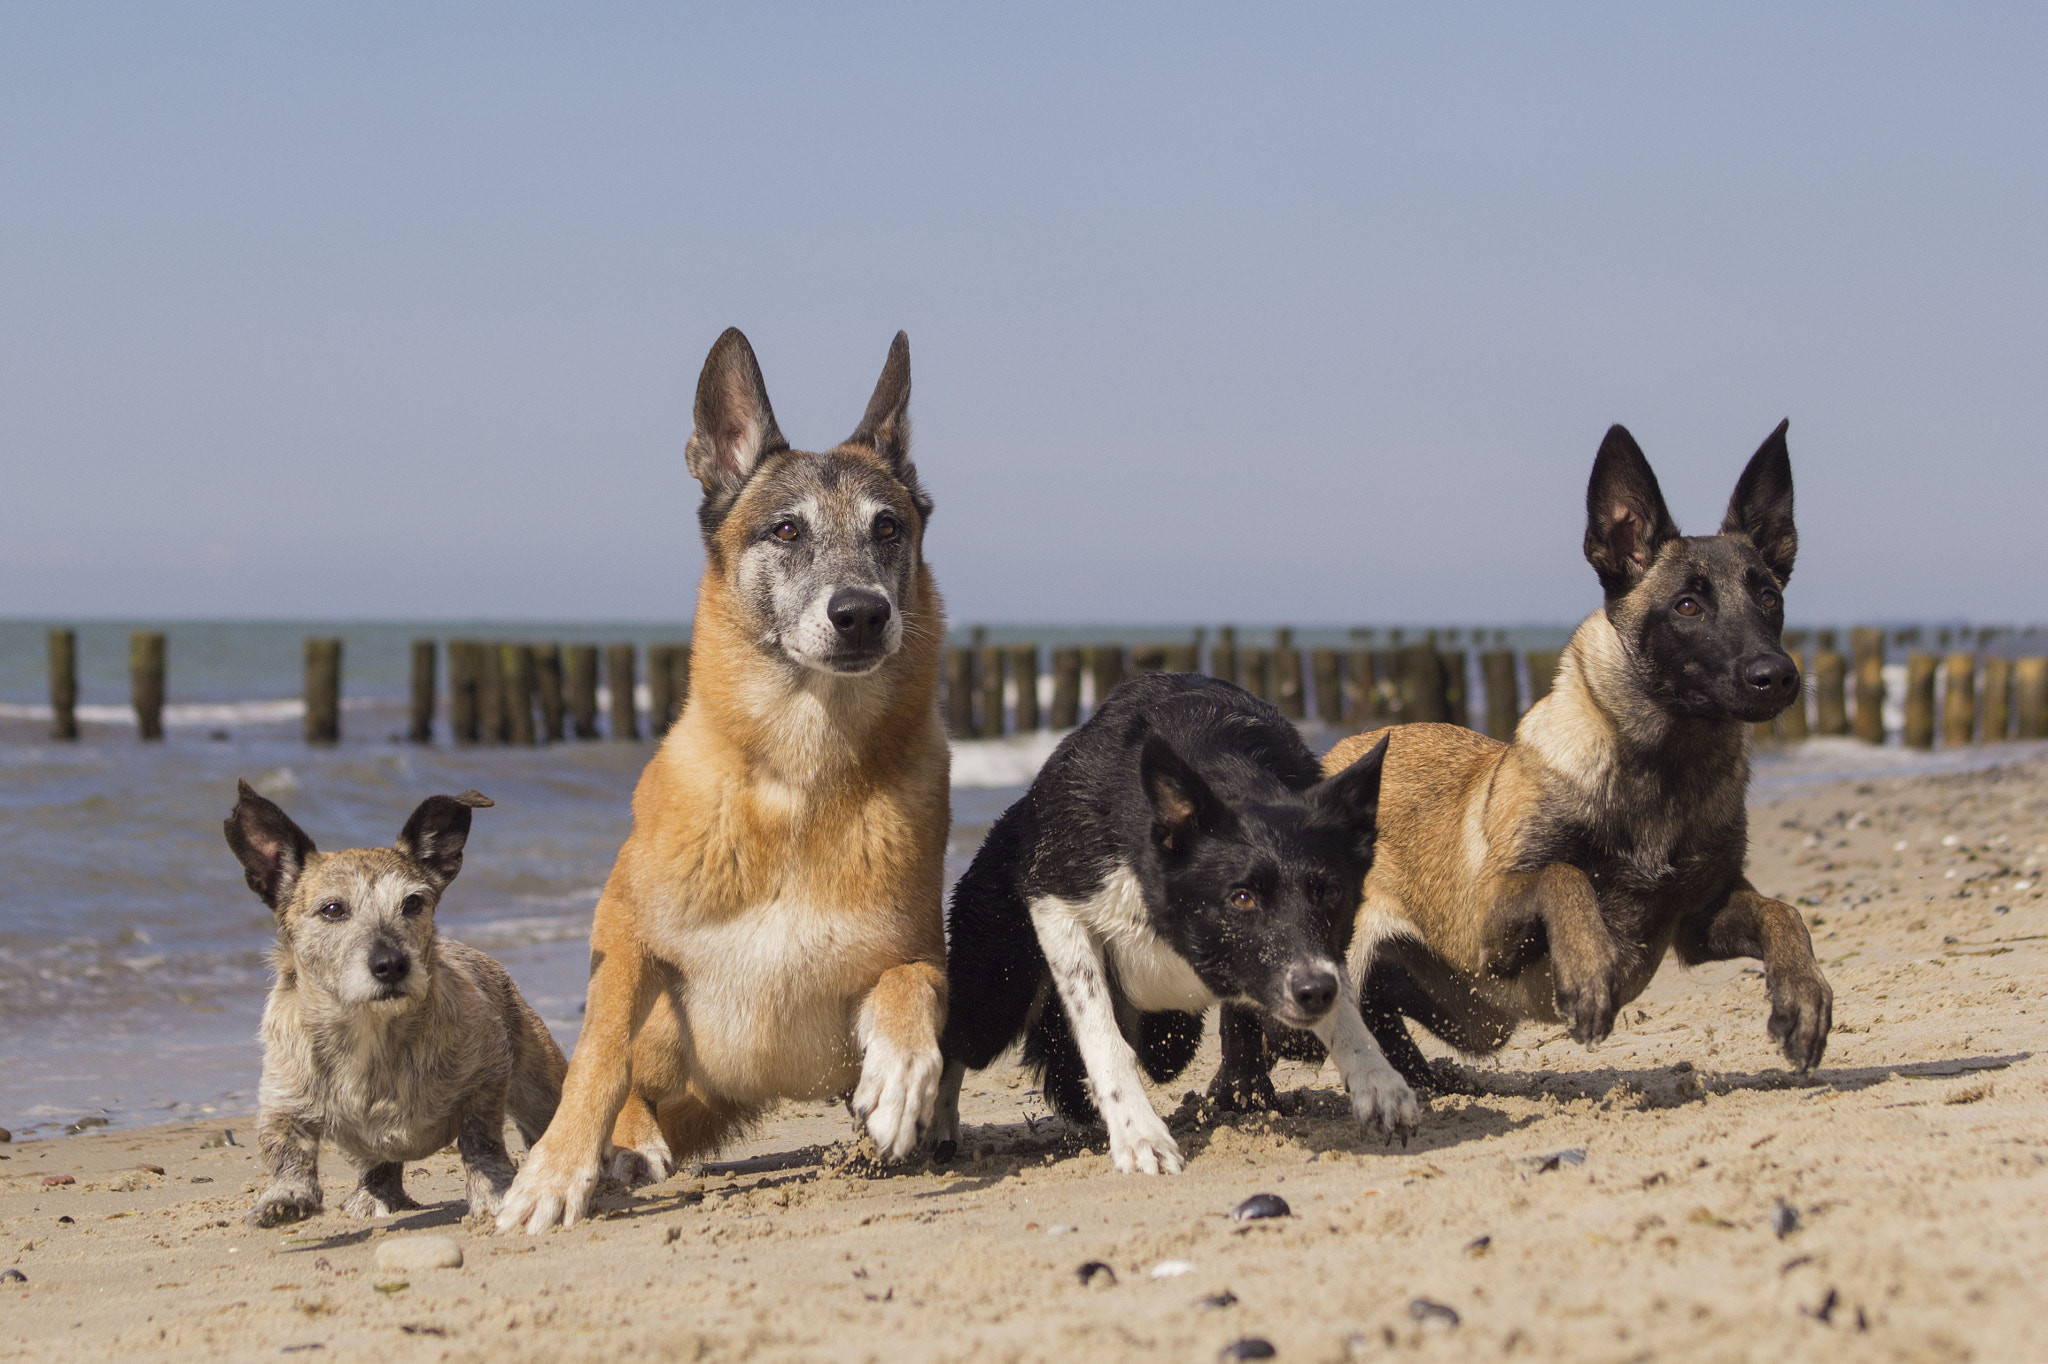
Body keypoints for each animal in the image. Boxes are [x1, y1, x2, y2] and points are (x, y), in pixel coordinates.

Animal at [224, 774, 565, 1220]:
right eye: (332, 909)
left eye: (413, 902)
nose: (391, 965)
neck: (372, 1035)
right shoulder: (283, 1099)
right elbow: (284, 1148)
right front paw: (286, 1196)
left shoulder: (487, 1078)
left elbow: (481, 1139)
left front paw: (492, 1191)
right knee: (378, 1165)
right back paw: (374, 1194)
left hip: (540, 1089)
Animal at [495, 329, 950, 1228]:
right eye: (786, 529)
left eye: (888, 527)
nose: (862, 614)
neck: (799, 781)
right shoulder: (623, 933)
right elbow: (599, 1055)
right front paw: (557, 1170)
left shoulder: (922, 953)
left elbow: (911, 983)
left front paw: (901, 1078)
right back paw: (628, 1144)